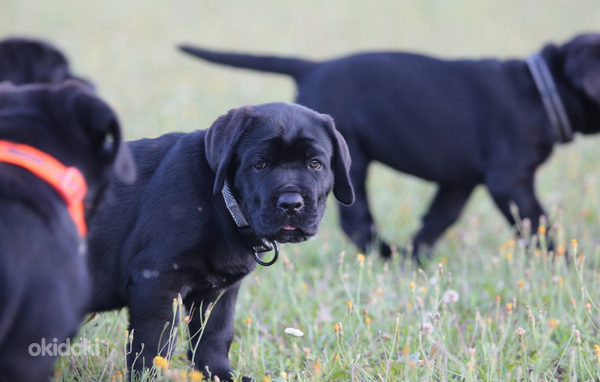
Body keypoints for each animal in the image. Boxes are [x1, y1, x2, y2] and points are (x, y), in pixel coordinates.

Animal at [86, 102, 354, 382]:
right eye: (259, 164)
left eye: (315, 164)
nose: (291, 203)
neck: (224, 203)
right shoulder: (156, 281)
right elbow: (153, 345)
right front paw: (150, 377)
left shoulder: (217, 292)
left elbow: (214, 336)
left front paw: (220, 375)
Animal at [180, 33, 600, 260]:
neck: (542, 90)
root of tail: (313, 67)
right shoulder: (510, 181)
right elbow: (538, 223)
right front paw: (562, 264)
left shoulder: (459, 183)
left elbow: (436, 220)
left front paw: (414, 258)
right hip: (353, 163)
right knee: (357, 219)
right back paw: (381, 253)